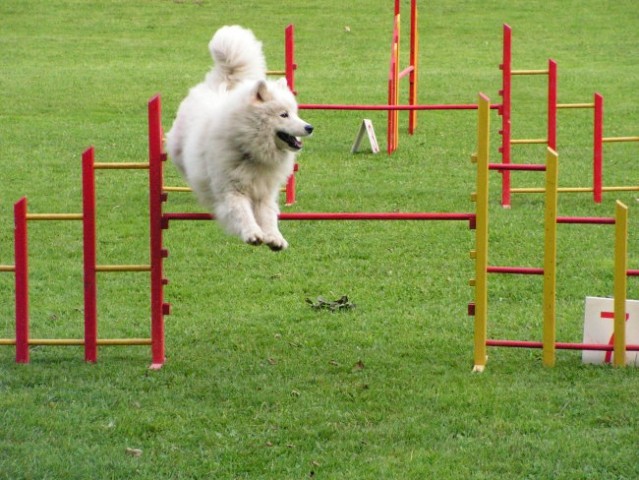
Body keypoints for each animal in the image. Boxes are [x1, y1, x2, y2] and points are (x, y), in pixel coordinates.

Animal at [166, 25, 314, 251]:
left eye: (295, 113)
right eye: (283, 115)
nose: (309, 127)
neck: (252, 151)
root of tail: (219, 83)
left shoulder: (264, 192)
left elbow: (269, 216)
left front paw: (274, 238)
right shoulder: (231, 190)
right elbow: (241, 213)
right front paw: (253, 234)